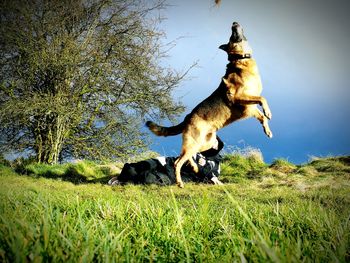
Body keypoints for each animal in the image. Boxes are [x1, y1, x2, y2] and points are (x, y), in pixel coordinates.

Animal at [146, 22, 272, 188]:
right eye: (232, 36)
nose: (234, 23)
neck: (240, 59)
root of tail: (187, 118)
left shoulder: (251, 108)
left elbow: (262, 113)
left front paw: (267, 130)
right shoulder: (239, 98)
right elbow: (263, 99)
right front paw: (269, 114)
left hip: (207, 143)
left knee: (188, 156)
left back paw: (193, 167)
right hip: (195, 143)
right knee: (178, 162)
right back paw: (180, 182)